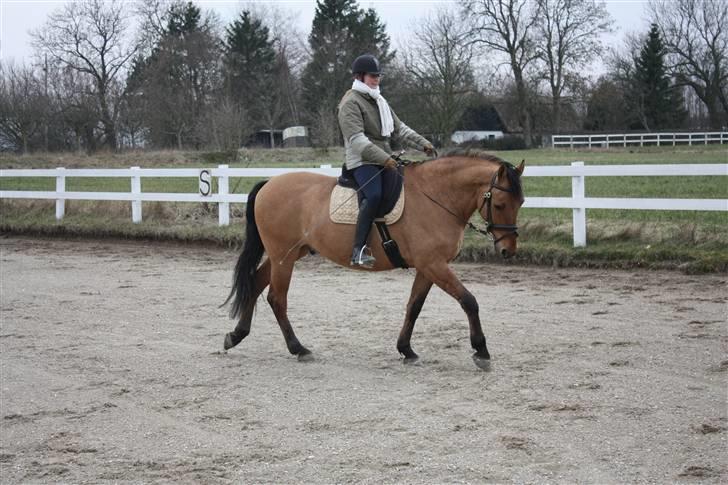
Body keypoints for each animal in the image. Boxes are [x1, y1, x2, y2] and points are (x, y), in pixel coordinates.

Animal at [222, 149, 524, 368]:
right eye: (500, 205)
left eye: (520, 203)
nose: (508, 250)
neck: (436, 197)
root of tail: (269, 183)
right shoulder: (434, 264)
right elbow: (469, 301)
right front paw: (481, 351)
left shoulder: (429, 267)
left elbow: (414, 306)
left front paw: (406, 349)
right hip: (282, 257)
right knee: (276, 298)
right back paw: (298, 348)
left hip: (288, 254)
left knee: (255, 283)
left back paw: (236, 335)